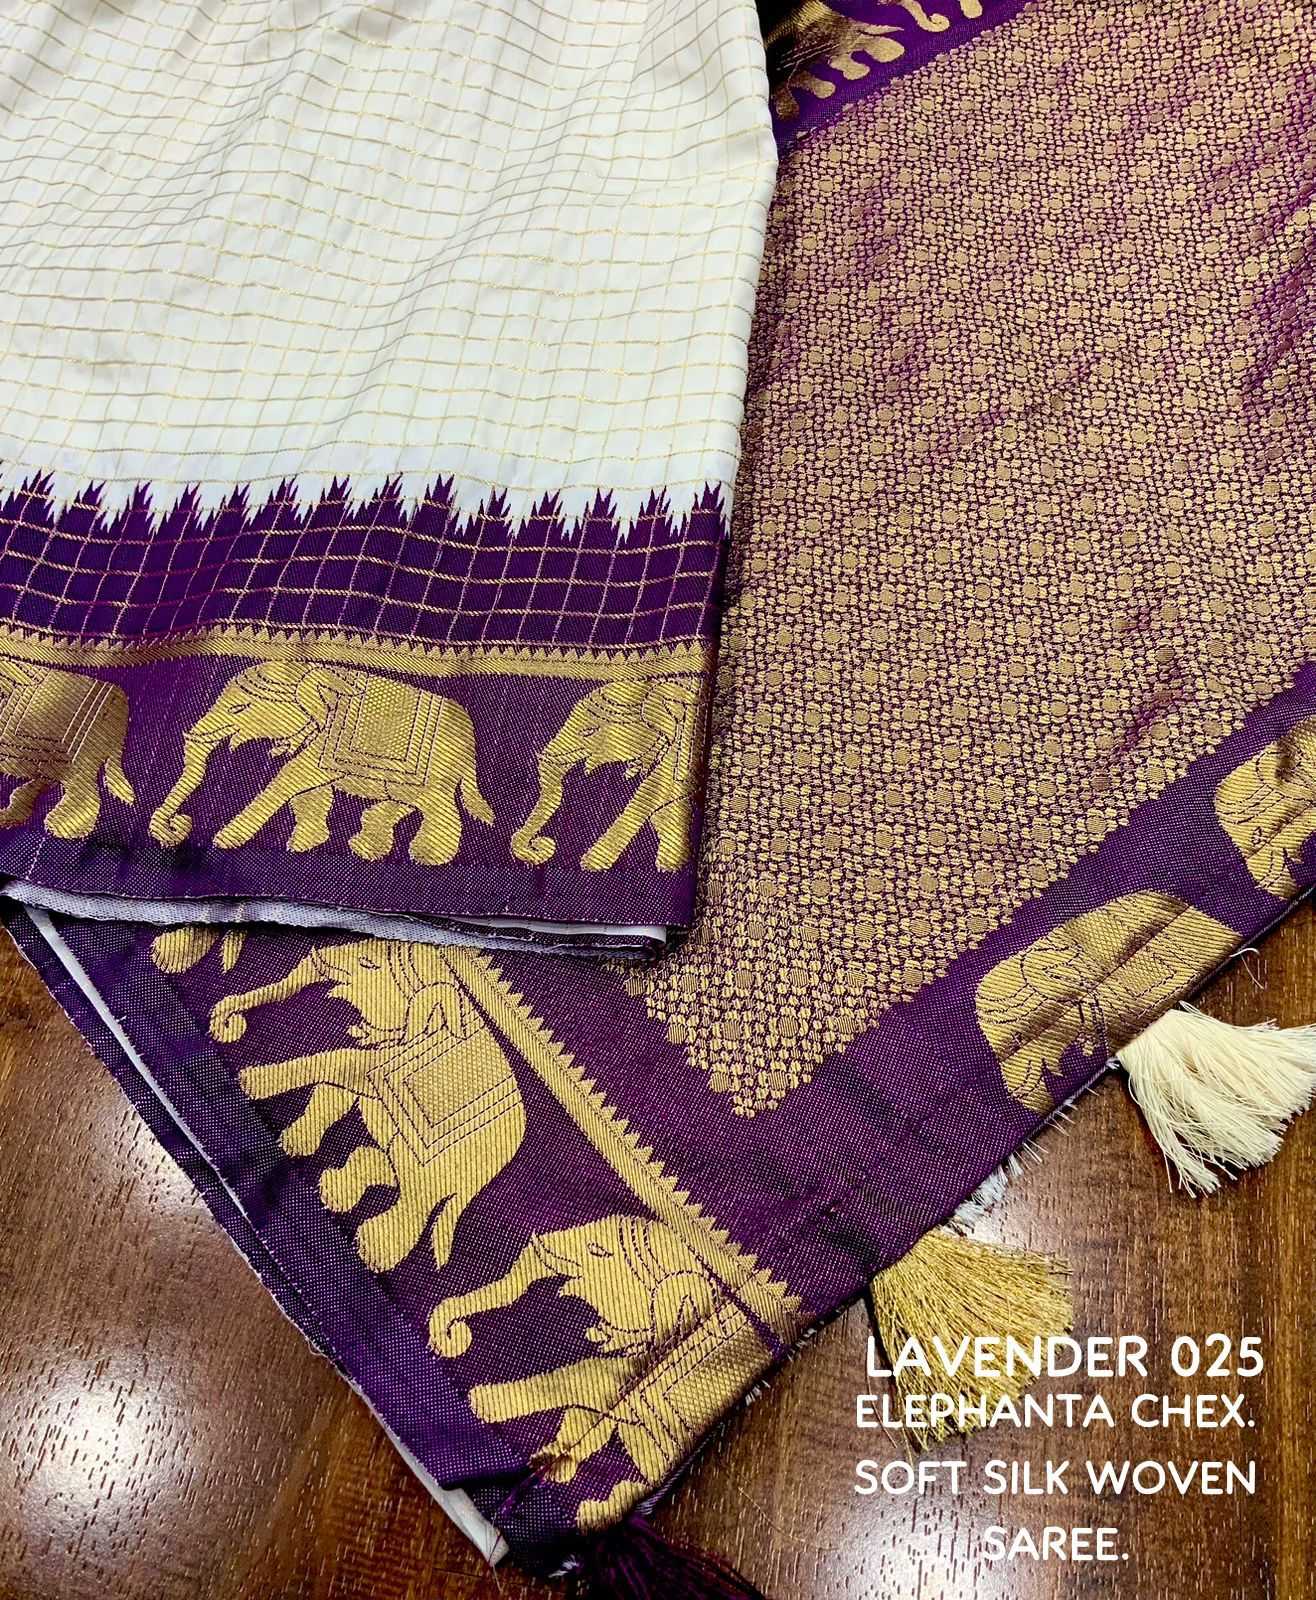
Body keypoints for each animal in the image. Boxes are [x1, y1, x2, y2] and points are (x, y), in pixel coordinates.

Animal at [148, 661, 493, 865]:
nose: (181, 826)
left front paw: (225, 840)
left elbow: (292, 777)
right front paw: (302, 846)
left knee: (436, 805)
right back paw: (365, 848)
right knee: (404, 801)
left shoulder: (326, 737)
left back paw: (426, 858)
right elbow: (307, 793)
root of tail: (473, 739)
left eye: (239, 708)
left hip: (438, 767)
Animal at [210, 937, 524, 1272]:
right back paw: (334, 1189)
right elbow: (333, 1093)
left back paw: (373, 1249)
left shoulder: (398, 1049)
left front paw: (251, 1082)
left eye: (367, 963)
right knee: (392, 1168)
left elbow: (340, 1065)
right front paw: (294, 1143)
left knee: (418, 1199)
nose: (230, 1025)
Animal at [431, 1213, 769, 1529]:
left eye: (598, 1250)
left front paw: (481, 1404)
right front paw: (556, 1464)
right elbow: (585, 1418)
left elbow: (582, 1390)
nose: (453, 1336)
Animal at [510, 677, 701, 873]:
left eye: (589, 732)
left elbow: (648, 795)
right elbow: (661, 813)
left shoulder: (681, 749)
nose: (540, 845)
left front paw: (591, 864)